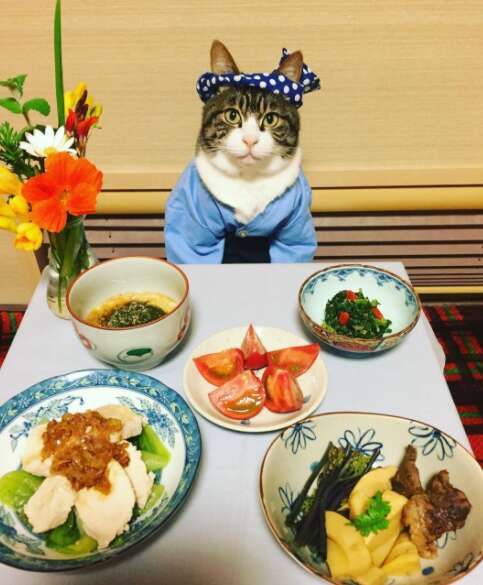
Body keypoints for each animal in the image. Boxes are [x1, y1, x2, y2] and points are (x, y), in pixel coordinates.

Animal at [164, 42, 320, 266]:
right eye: (232, 115)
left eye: (271, 119)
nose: (250, 140)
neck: (248, 179)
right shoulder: (192, 221)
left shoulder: (294, 224)